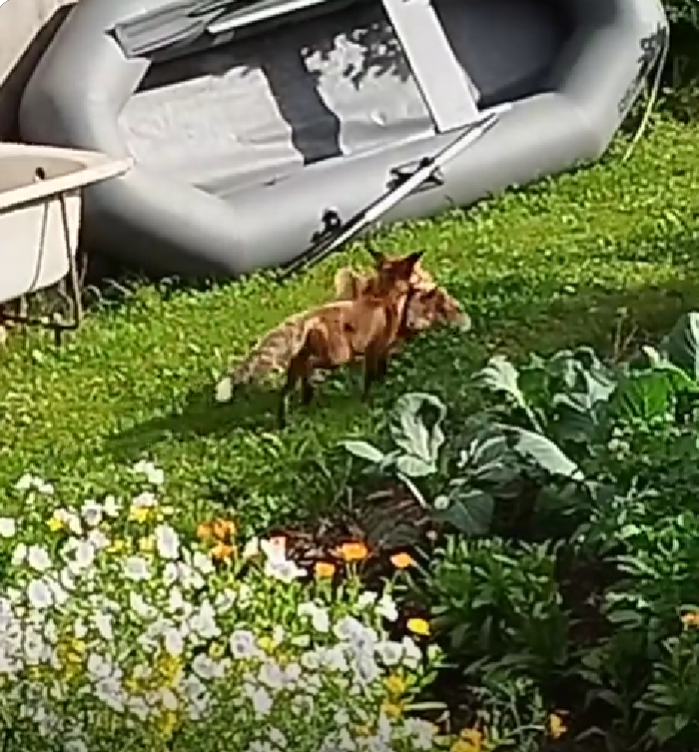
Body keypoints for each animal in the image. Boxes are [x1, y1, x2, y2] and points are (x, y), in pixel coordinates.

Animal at [215, 250, 425, 427]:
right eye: (414, 272)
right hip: (337, 358)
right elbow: (371, 378)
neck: (383, 297)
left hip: (297, 367)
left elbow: (379, 373)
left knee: (284, 393)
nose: (422, 280)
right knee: (309, 369)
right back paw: (307, 395)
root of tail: (306, 317)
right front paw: (369, 398)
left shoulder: (377, 352)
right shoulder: (375, 350)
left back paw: (288, 418)